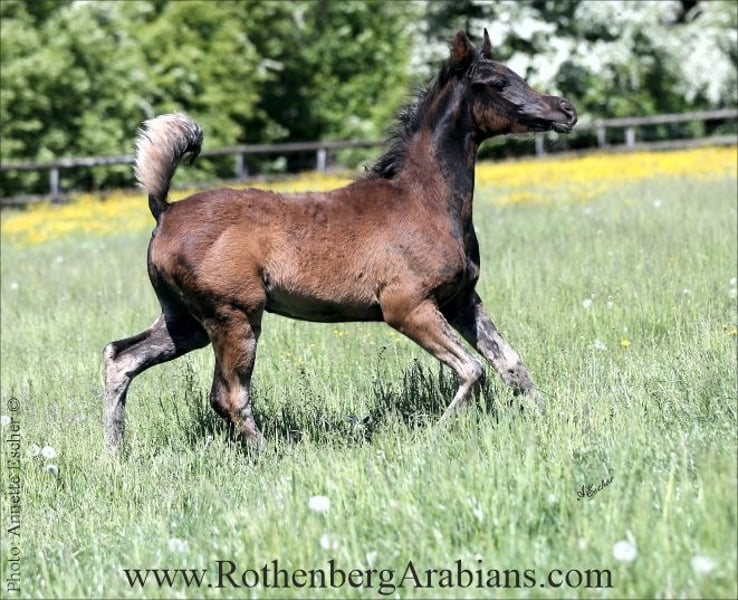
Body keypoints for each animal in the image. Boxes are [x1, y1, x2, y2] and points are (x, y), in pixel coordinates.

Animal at [103, 29, 577, 453]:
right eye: (498, 83)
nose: (566, 110)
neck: (424, 200)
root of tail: (165, 210)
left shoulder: (462, 299)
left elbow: (511, 363)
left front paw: (551, 418)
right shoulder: (407, 307)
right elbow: (473, 370)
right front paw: (433, 437)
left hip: (185, 322)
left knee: (119, 359)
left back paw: (115, 457)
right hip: (233, 316)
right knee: (228, 395)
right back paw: (270, 456)